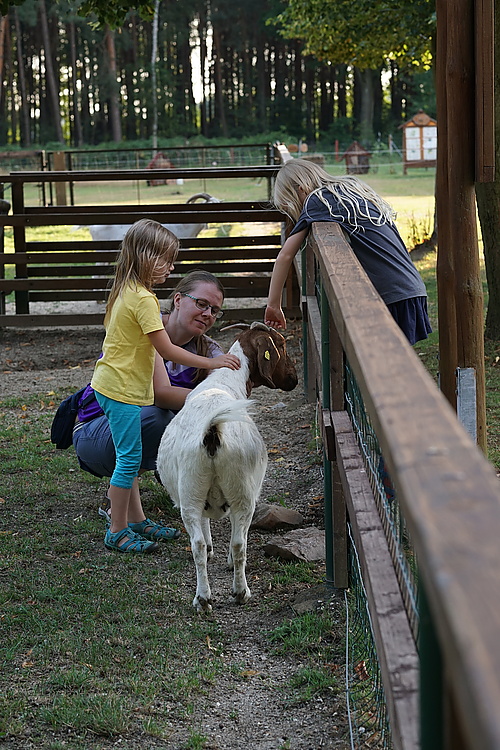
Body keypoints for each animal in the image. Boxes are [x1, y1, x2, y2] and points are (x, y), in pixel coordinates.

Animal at [156, 320, 296, 612]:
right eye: (281, 343)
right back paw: (241, 592)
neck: (224, 382)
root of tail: (212, 430)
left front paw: (212, 550)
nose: (294, 379)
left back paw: (203, 598)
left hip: (191, 491)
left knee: (197, 544)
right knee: (239, 543)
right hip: (243, 492)